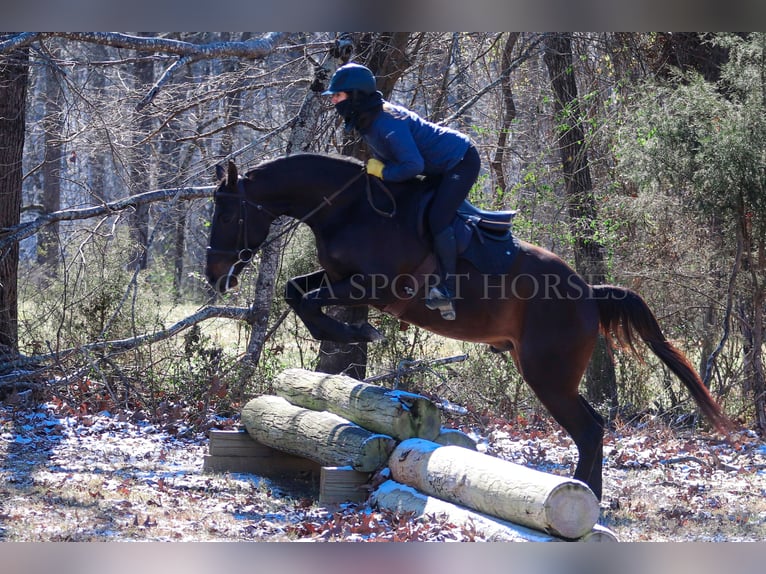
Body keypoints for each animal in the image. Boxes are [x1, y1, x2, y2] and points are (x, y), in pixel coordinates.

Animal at [204, 155, 732, 502]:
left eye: (227, 213)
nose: (214, 275)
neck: (350, 208)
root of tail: (588, 292)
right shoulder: (339, 279)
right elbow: (296, 290)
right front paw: (342, 335)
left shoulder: (371, 287)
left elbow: (308, 299)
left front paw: (356, 336)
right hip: (546, 372)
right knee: (592, 426)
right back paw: (585, 494)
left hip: (547, 375)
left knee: (587, 429)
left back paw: (584, 497)